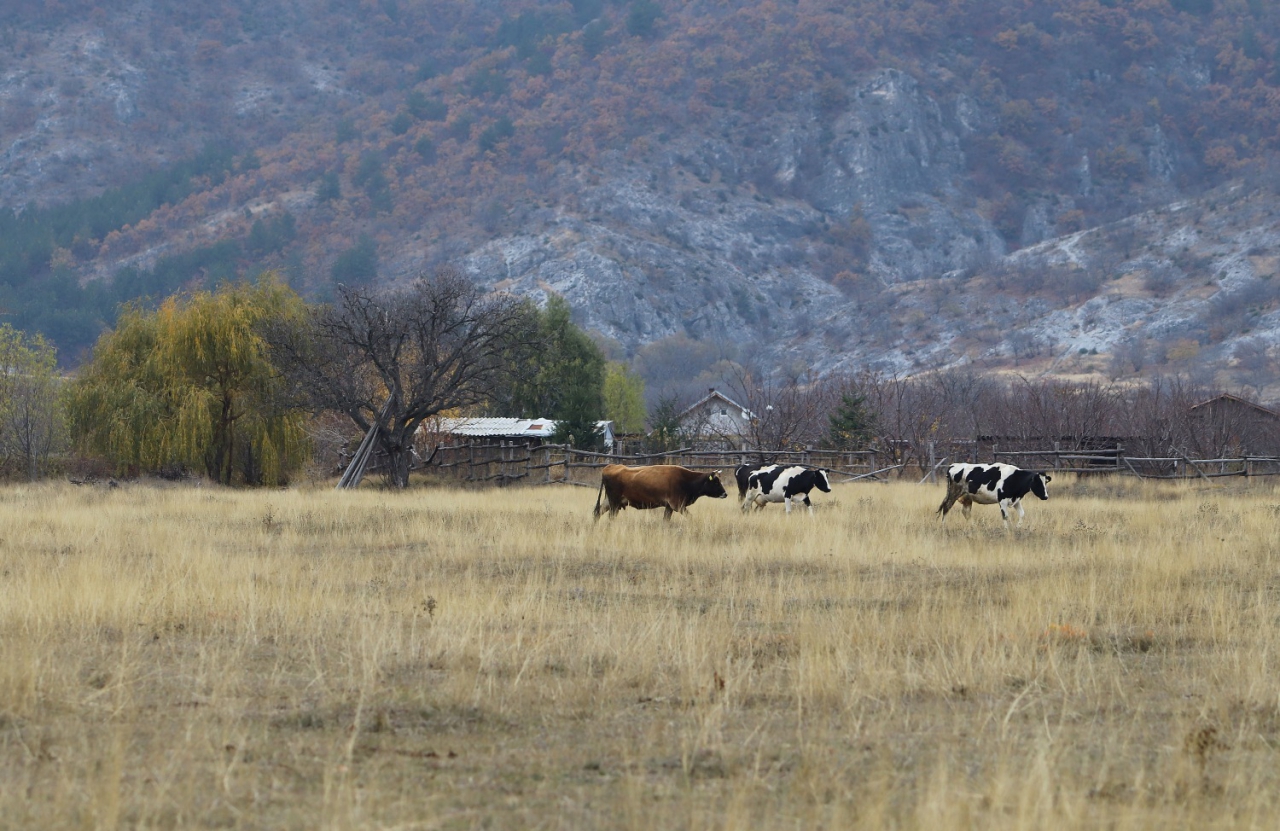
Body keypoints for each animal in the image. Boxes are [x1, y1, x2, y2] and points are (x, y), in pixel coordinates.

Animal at [591, 460, 727, 517]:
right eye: (716, 482)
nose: (725, 494)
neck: (686, 480)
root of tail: (610, 467)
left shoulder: (669, 507)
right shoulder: (678, 505)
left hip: (609, 501)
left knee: (597, 513)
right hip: (614, 503)